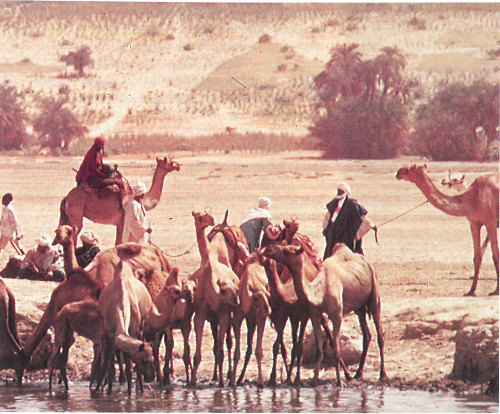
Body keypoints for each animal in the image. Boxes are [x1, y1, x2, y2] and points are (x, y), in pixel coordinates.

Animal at [189, 212, 240, 386]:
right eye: (198, 216)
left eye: (234, 289)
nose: (236, 300)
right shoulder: (200, 313)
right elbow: (197, 354)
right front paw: (192, 381)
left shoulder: (223, 314)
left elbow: (221, 349)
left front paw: (222, 382)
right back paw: (216, 376)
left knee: (227, 342)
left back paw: (227, 375)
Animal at [229, 252, 270, 388]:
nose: (267, 308)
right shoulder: (241, 318)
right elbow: (240, 351)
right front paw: (233, 380)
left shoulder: (253, 318)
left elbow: (253, 350)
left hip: (255, 318)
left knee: (253, 349)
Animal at [262, 244, 386, 386]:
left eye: (287, 250)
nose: (268, 249)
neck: (319, 291)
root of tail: (366, 262)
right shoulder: (315, 314)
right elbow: (319, 350)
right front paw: (314, 380)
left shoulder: (336, 314)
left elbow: (336, 349)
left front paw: (339, 382)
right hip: (359, 307)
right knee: (367, 335)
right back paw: (358, 373)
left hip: (375, 296)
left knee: (380, 335)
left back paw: (382, 374)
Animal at [396, 163, 498, 296]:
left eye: (409, 169)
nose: (398, 172)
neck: (472, 198)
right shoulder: (474, 223)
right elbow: (477, 257)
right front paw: (471, 291)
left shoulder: (491, 222)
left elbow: (496, 255)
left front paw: (496, 290)